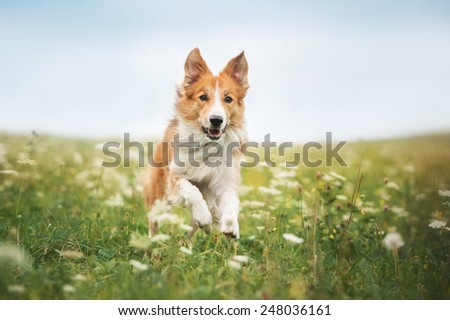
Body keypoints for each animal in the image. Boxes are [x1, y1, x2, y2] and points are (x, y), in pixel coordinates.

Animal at [144, 47, 250, 238]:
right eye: (203, 97)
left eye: (228, 99)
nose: (216, 120)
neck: (207, 143)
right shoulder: (175, 175)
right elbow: (192, 191)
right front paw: (203, 216)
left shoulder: (226, 179)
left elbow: (232, 201)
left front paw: (230, 225)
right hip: (158, 196)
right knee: (154, 222)